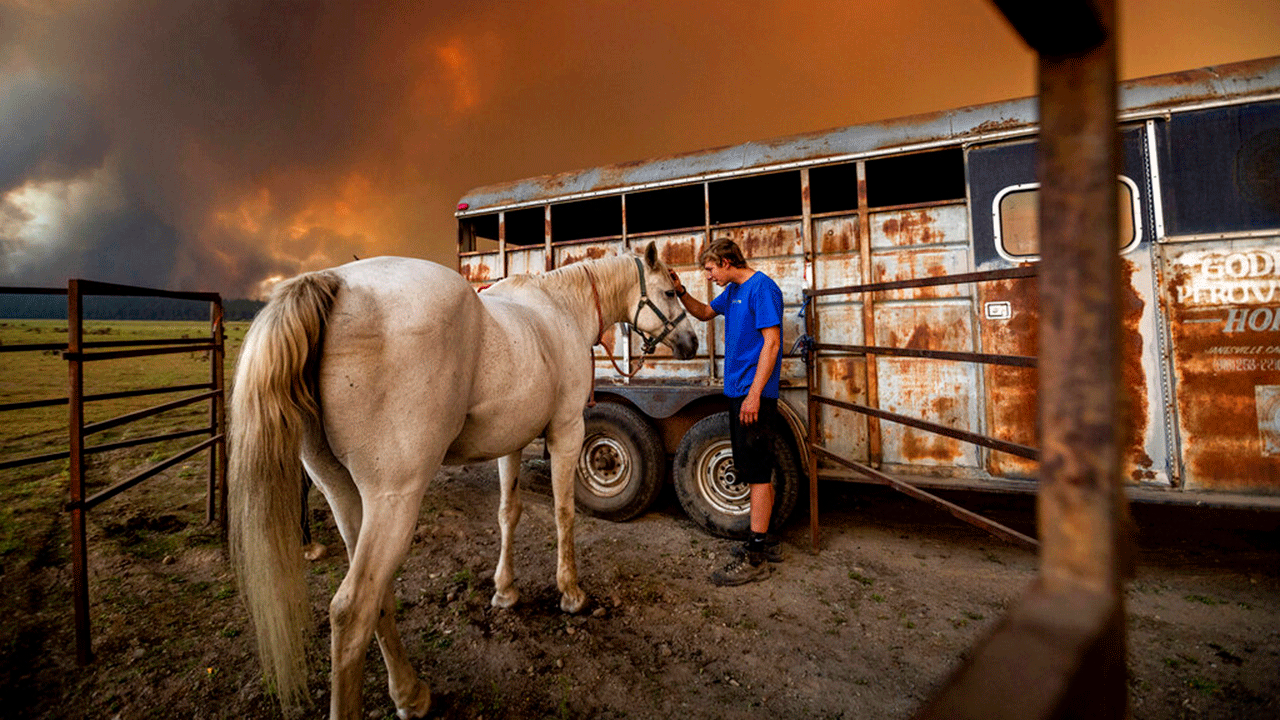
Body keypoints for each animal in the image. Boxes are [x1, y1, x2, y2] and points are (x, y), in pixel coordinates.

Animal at [225, 242, 696, 717]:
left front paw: (505, 591)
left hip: (343, 495)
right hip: (394, 500)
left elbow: (509, 513)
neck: (561, 310)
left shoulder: (511, 442)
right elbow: (564, 513)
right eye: (670, 292)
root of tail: (332, 281)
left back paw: (410, 692)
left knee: (379, 597)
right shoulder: (567, 432)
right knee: (352, 610)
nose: (691, 343)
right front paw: (570, 593)